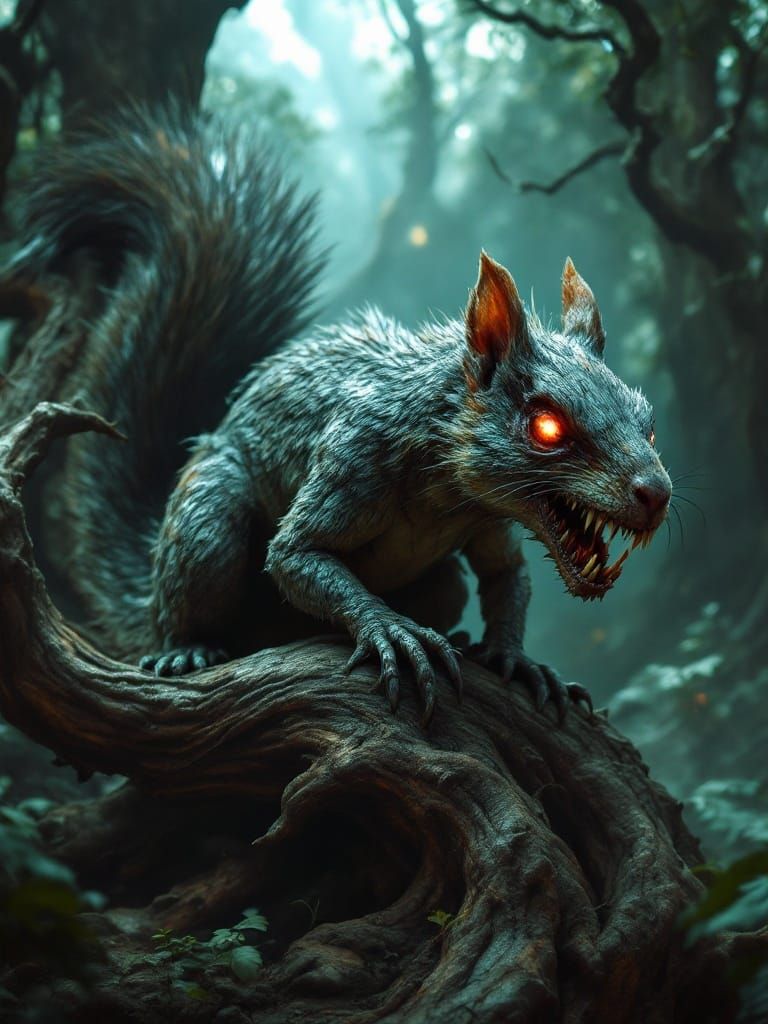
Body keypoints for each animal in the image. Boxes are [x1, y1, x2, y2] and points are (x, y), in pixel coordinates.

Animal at [12, 109, 672, 726]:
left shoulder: (488, 518)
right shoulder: (354, 456)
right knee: (196, 580)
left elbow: (506, 578)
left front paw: (517, 658)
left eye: (647, 419)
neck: (448, 487)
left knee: (451, 586)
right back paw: (187, 648)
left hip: (437, 583)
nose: (657, 494)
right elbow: (296, 553)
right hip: (206, 524)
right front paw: (390, 631)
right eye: (546, 426)